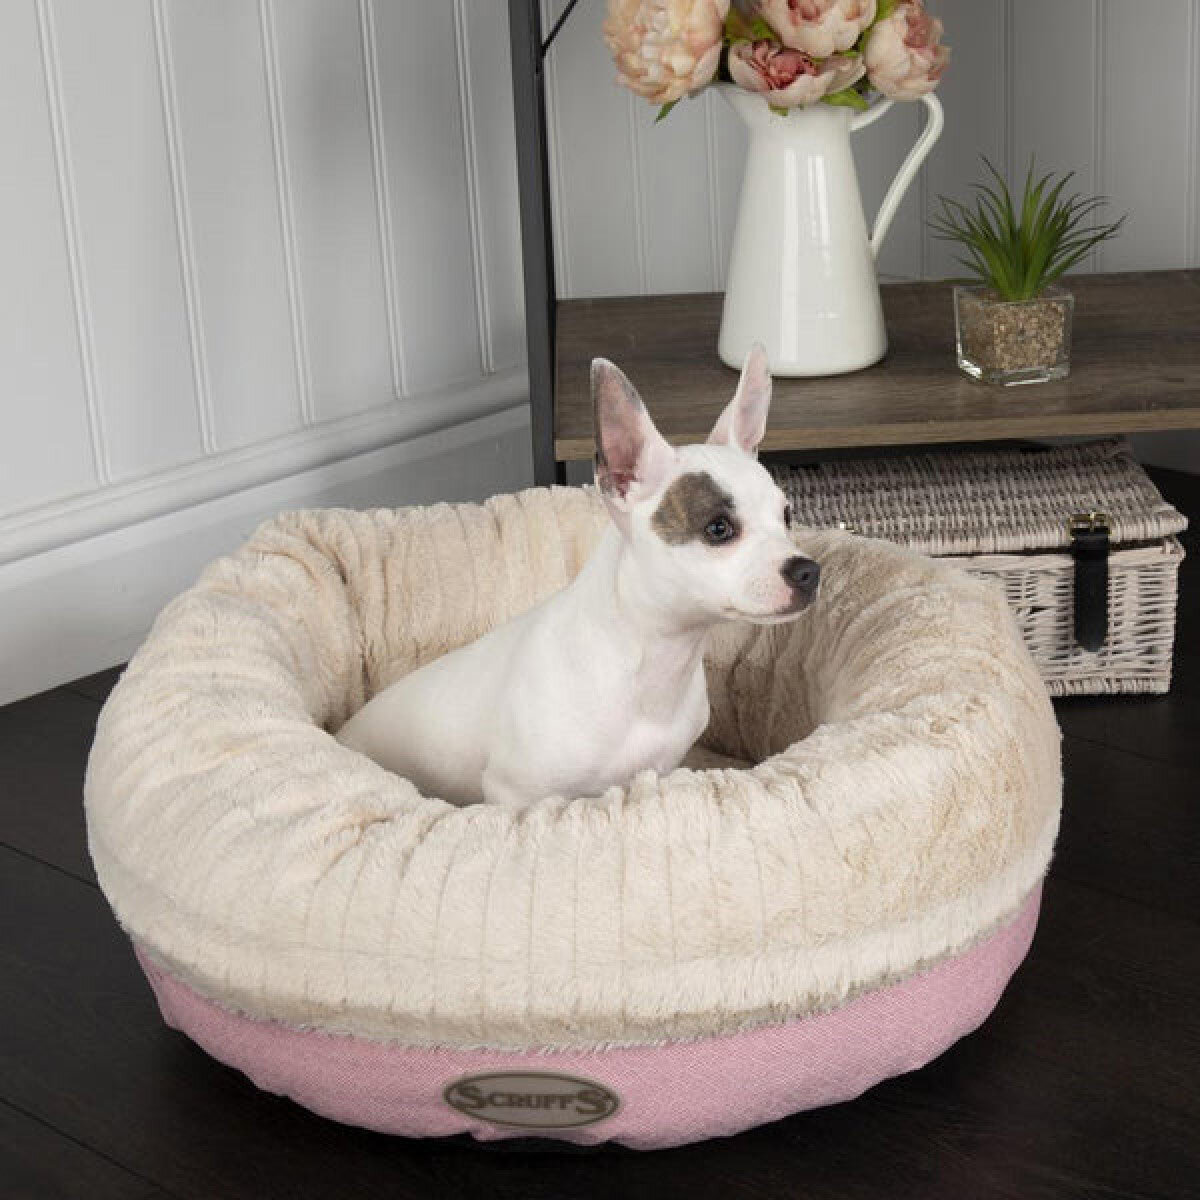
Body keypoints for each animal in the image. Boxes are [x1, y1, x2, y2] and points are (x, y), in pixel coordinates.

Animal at [343, 343, 820, 806]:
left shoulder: (658, 770)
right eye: (718, 529)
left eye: (786, 515)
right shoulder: (516, 795)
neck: (652, 658)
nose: (808, 571)